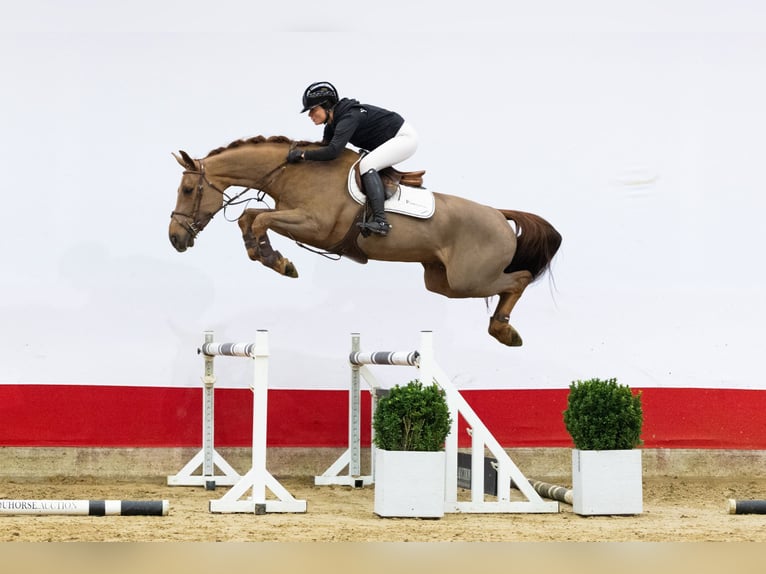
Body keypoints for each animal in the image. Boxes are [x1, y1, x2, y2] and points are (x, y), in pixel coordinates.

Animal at [168, 135, 561, 347]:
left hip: (470, 278)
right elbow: (250, 217)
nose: (174, 238)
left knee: (520, 279)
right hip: (442, 281)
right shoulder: (293, 217)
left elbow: (260, 217)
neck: (292, 172)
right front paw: (264, 254)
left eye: (187, 190)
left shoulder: (313, 225)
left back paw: (504, 330)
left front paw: (280, 262)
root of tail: (499, 214)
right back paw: (501, 328)